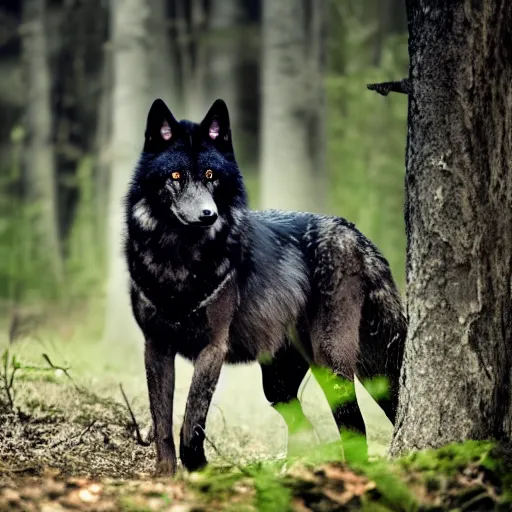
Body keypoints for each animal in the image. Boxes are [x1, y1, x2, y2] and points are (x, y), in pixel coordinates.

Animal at [123, 98, 404, 474]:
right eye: (176, 176)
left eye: (211, 176)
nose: (208, 215)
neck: (179, 264)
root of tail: (353, 231)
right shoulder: (155, 346)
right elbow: (163, 421)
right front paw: (166, 474)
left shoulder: (213, 348)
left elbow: (192, 417)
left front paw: (198, 467)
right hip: (278, 383)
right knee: (305, 425)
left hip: (337, 364)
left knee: (355, 426)